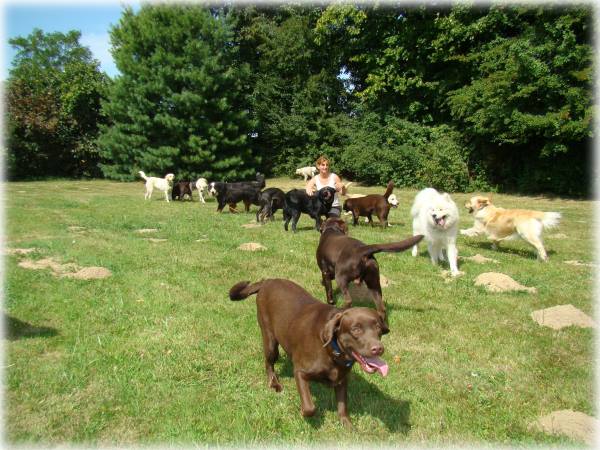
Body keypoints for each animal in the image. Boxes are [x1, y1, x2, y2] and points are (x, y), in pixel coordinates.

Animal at [230, 276, 390, 428]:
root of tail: (267, 281)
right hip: (269, 340)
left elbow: (342, 406)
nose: (378, 349)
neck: (331, 350)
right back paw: (274, 384)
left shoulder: (342, 380)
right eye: (356, 329)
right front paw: (303, 411)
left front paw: (347, 425)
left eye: (378, 328)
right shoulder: (300, 372)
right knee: (269, 363)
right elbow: (309, 407)